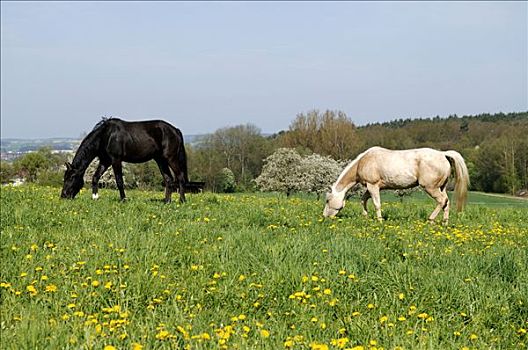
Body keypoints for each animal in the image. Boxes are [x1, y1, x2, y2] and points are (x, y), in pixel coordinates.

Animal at [61, 117, 189, 202]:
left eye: (71, 177)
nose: (63, 196)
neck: (105, 136)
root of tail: (175, 130)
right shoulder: (105, 161)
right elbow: (95, 177)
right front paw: (95, 197)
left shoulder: (116, 160)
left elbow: (119, 180)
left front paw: (123, 199)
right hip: (160, 160)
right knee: (168, 179)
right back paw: (167, 201)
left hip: (171, 158)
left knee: (180, 177)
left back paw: (182, 200)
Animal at [322, 146, 470, 223]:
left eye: (328, 200)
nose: (324, 217)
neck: (363, 162)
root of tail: (443, 154)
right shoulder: (371, 188)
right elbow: (363, 200)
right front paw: (365, 216)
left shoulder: (372, 186)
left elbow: (376, 204)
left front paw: (380, 221)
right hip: (441, 187)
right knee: (446, 202)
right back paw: (444, 223)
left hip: (431, 188)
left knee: (441, 201)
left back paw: (430, 219)